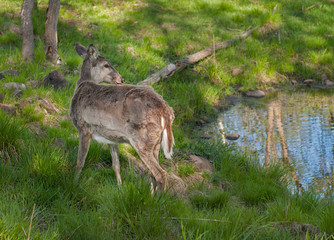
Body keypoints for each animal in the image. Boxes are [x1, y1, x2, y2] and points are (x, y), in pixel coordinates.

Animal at [68, 44, 183, 192]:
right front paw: (120, 188)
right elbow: (116, 166)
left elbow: (80, 161)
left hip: (142, 140)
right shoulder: (111, 137)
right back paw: (151, 195)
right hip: (155, 143)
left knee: (160, 174)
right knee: (153, 173)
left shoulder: (84, 127)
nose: (121, 79)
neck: (82, 85)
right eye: (106, 65)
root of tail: (167, 112)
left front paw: (74, 183)